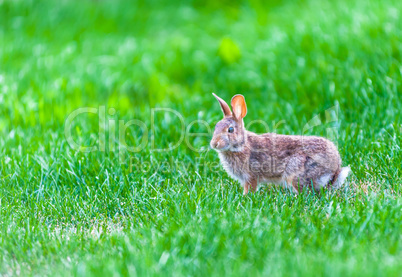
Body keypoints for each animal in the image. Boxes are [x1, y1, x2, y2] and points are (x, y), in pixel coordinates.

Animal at [209, 92, 350, 194]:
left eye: (230, 130)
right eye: (216, 126)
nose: (214, 144)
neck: (242, 145)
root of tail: (334, 169)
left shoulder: (251, 176)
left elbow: (251, 188)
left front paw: (245, 197)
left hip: (296, 172)